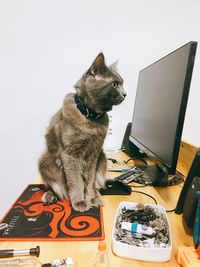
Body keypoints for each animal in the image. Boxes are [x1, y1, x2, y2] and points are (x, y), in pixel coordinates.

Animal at [38, 53, 126, 213]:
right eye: (115, 84)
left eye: (122, 83)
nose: (125, 94)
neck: (91, 118)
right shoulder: (71, 153)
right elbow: (76, 180)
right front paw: (79, 201)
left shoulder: (94, 153)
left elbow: (89, 180)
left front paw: (90, 198)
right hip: (45, 160)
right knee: (55, 188)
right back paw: (50, 196)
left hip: (102, 158)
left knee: (97, 183)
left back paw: (96, 196)